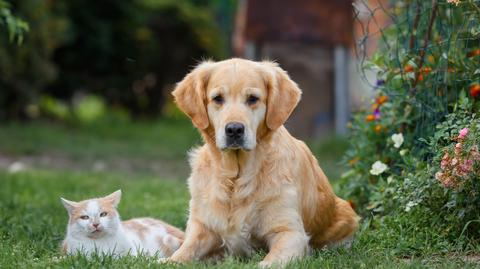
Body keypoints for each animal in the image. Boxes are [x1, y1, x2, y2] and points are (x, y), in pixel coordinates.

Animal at [168, 57, 356, 264]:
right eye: (218, 98)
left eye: (252, 99)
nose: (234, 129)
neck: (237, 178)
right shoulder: (202, 225)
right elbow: (183, 252)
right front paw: (167, 259)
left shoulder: (290, 232)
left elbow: (268, 262)